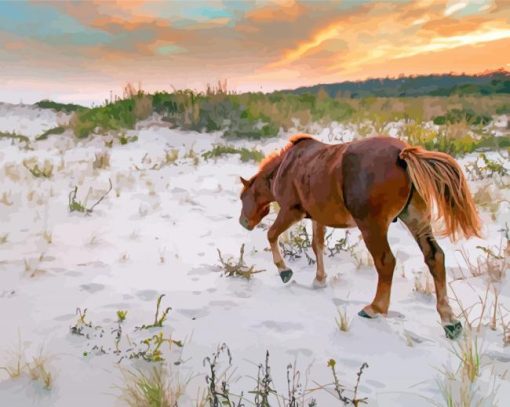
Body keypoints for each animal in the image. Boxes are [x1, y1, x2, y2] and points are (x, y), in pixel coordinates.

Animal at [239, 135, 482, 342]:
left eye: (243, 197)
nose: (243, 222)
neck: (285, 166)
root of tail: (402, 154)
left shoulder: (291, 211)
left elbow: (271, 235)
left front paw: (284, 271)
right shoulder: (317, 217)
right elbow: (317, 245)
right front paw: (319, 279)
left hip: (372, 227)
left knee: (386, 262)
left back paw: (375, 308)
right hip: (417, 220)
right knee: (434, 257)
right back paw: (449, 321)